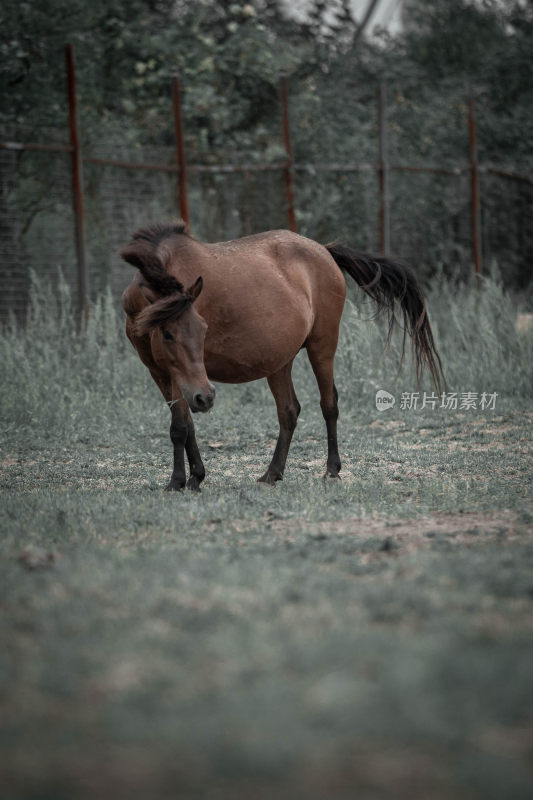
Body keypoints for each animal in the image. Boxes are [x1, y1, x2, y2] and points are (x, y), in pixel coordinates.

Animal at [121, 222, 444, 490]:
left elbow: (180, 426)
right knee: (289, 411)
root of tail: (324, 250)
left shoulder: (183, 374)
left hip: (322, 347)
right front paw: (191, 478)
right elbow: (184, 426)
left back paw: (331, 470)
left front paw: (181, 481)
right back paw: (273, 473)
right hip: (279, 362)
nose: (207, 397)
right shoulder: (162, 371)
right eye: (168, 334)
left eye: (203, 330)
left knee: (329, 405)